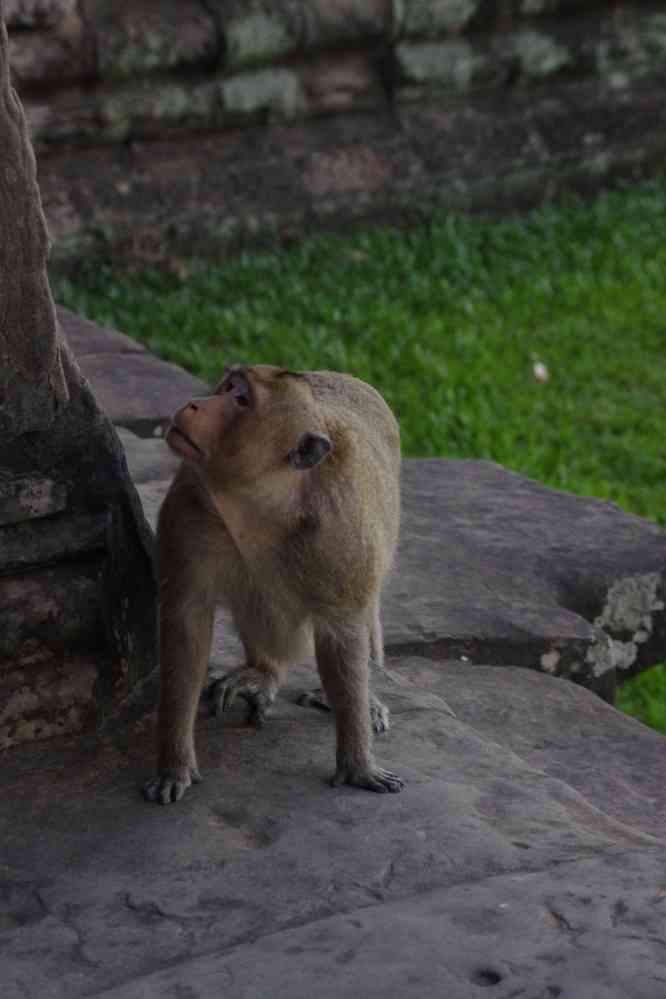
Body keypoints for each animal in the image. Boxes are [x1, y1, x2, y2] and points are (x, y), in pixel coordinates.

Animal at [143, 364, 404, 805]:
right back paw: (263, 673)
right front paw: (174, 762)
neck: (265, 502)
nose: (196, 403)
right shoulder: (189, 509)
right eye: (227, 386)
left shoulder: (340, 532)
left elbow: (343, 631)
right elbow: (187, 622)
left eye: (241, 399)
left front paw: (357, 762)